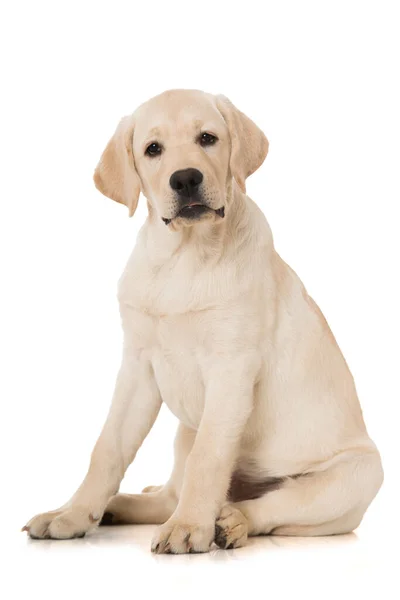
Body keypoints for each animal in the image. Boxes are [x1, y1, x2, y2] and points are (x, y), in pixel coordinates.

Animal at [22, 89, 384, 552]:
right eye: (152, 149)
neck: (183, 256)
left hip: (356, 476)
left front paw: (190, 525)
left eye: (207, 138)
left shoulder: (232, 368)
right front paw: (72, 514)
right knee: (170, 493)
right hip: (184, 430)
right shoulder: (138, 366)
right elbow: (108, 447)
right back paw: (121, 506)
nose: (185, 179)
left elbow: (209, 457)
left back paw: (228, 522)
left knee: (266, 507)